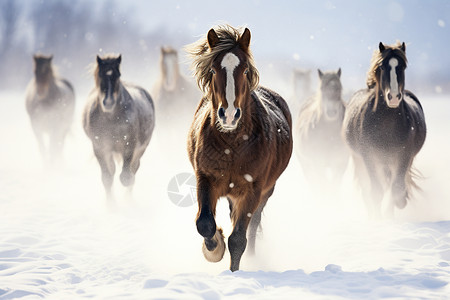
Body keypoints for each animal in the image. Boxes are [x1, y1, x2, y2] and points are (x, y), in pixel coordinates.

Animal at [83, 54, 156, 199]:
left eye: (118, 74)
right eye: (100, 74)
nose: (108, 102)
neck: (111, 118)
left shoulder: (129, 144)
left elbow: (126, 177)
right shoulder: (100, 147)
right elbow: (107, 178)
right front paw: (111, 203)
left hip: (141, 148)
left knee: (134, 168)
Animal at [185, 24, 294, 270]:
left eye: (244, 71)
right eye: (213, 70)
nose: (229, 115)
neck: (231, 145)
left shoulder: (252, 190)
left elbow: (238, 240)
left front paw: (234, 273)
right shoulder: (205, 179)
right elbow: (205, 223)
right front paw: (214, 247)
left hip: (265, 192)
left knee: (252, 226)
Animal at [342, 42, 428, 217]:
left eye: (403, 66)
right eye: (382, 66)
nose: (393, 97)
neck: (386, 125)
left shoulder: (403, 157)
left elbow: (396, 190)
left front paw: (392, 214)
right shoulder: (368, 156)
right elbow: (376, 192)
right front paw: (378, 220)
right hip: (360, 160)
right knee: (367, 190)